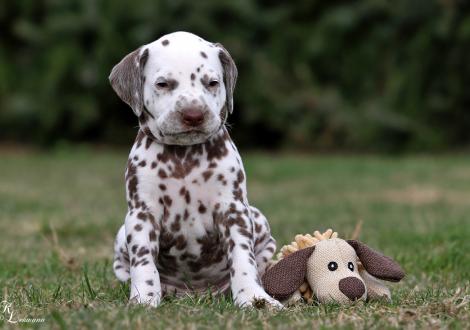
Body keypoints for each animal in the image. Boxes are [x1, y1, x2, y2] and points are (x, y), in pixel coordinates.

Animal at [108, 32, 280, 308]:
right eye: (163, 84)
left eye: (212, 82)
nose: (193, 114)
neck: (183, 158)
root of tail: (195, 294)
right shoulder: (141, 215)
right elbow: (143, 262)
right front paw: (144, 298)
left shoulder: (234, 211)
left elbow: (243, 258)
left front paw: (254, 298)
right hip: (122, 234)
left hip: (258, 218)